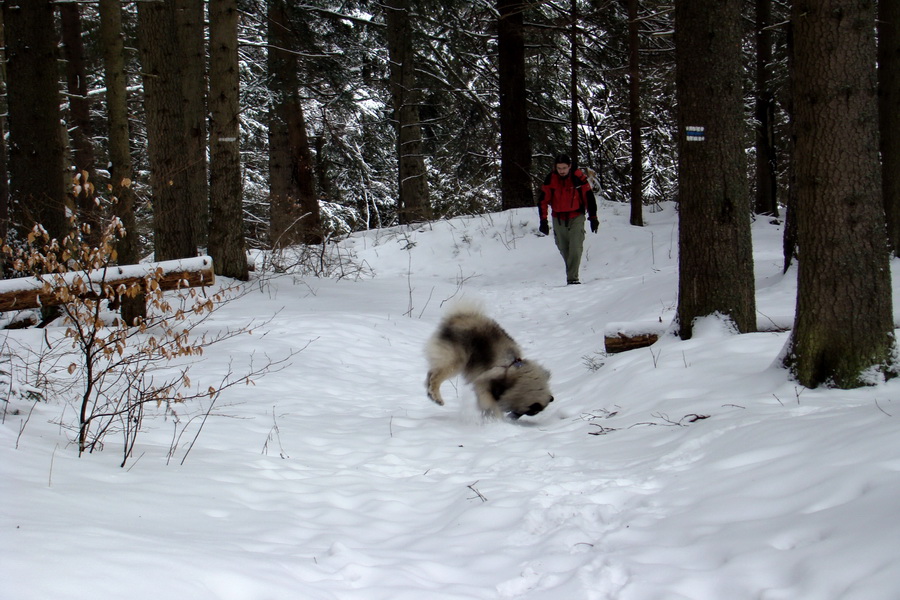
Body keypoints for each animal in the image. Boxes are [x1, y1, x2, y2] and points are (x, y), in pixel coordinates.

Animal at [424, 302, 556, 420]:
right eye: (532, 411)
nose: (514, 418)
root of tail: (457, 317)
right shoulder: (484, 384)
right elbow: (490, 404)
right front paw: (497, 420)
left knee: (430, 374)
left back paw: (430, 394)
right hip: (455, 362)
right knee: (436, 378)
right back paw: (437, 397)